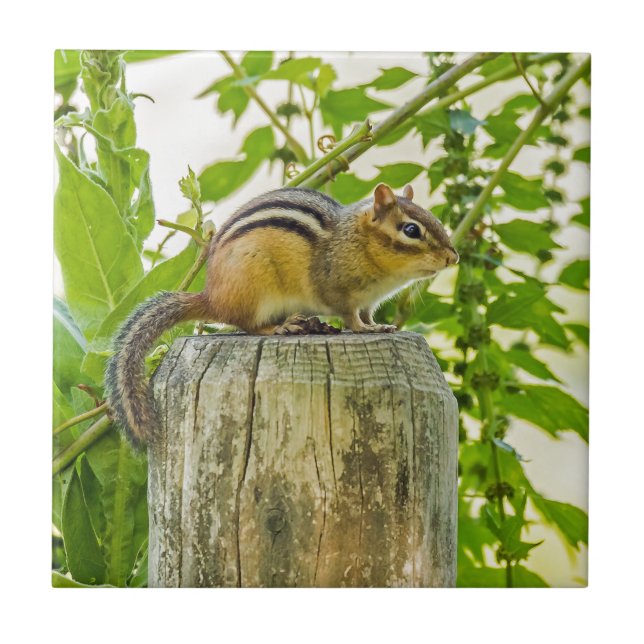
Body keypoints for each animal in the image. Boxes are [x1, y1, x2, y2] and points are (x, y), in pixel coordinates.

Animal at [106, 183, 458, 446]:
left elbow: (368, 315)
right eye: (411, 230)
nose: (453, 258)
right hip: (255, 287)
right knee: (247, 325)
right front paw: (364, 330)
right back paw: (281, 328)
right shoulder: (338, 292)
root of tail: (211, 296)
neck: (359, 242)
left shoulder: (369, 301)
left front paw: (380, 326)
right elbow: (350, 317)